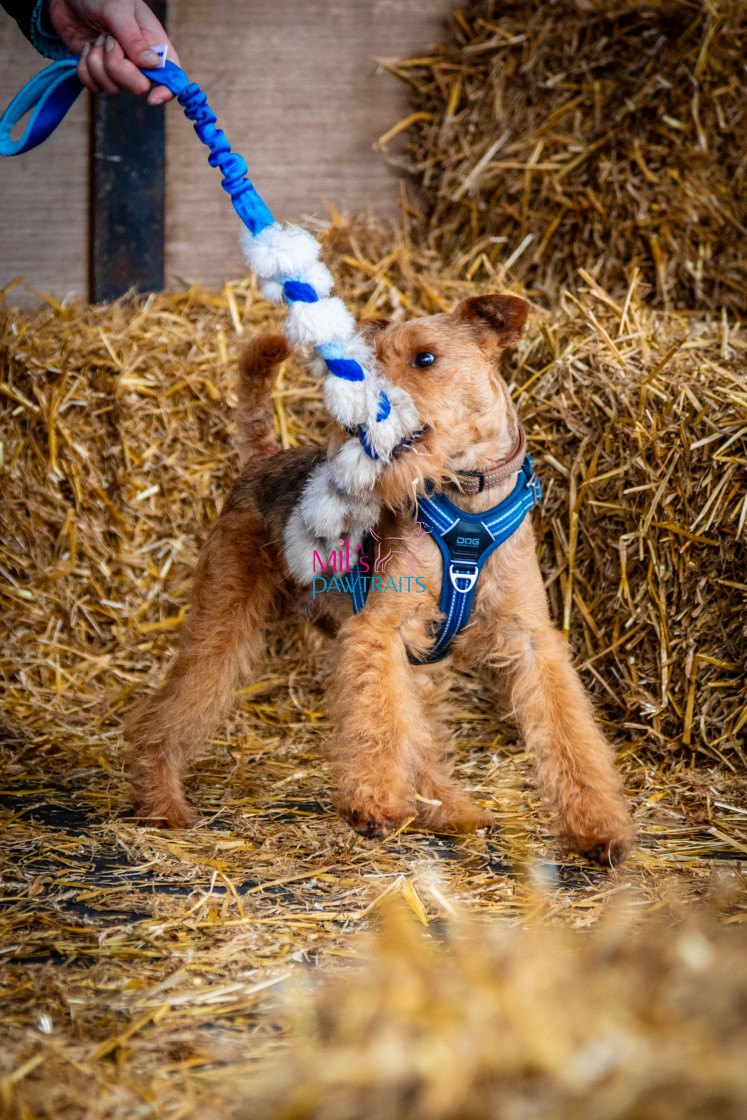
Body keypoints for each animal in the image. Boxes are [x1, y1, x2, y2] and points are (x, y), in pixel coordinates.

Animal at [128, 297, 636, 864]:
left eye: (425, 358)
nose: (356, 417)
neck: (467, 501)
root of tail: (264, 457)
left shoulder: (530, 640)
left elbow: (570, 733)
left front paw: (600, 830)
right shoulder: (380, 629)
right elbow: (378, 724)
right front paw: (372, 807)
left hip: (417, 659)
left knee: (424, 739)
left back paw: (451, 812)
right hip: (223, 617)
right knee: (165, 713)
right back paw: (162, 805)